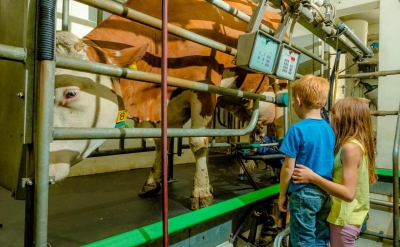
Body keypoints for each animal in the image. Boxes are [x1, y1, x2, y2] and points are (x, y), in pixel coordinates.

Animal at [53, 0, 284, 210]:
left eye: (70, 93)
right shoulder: (162, 104)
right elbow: (159, 142)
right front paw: (153, 182)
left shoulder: (205, 89)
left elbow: (198, 142)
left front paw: (201, 191)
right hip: (242, 101)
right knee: (256, 127)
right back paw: (252, 164)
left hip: (280, 91)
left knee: (279, 127)